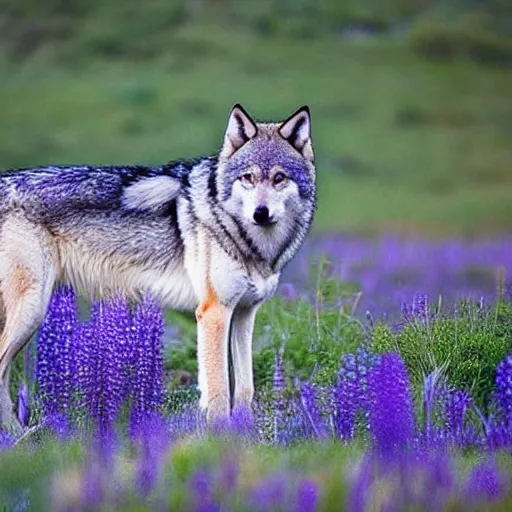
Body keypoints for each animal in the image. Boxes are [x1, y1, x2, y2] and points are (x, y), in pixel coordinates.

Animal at [0, 105, 316, 432]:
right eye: (248, 178)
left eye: (279, 178)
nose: (260, 213)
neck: (248, 240)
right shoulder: (214, 313)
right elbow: (218, 390)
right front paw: (220, 437)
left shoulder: (243, 314)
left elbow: (244, 387)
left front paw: (246, 433)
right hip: (31, 312)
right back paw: (17, 436)